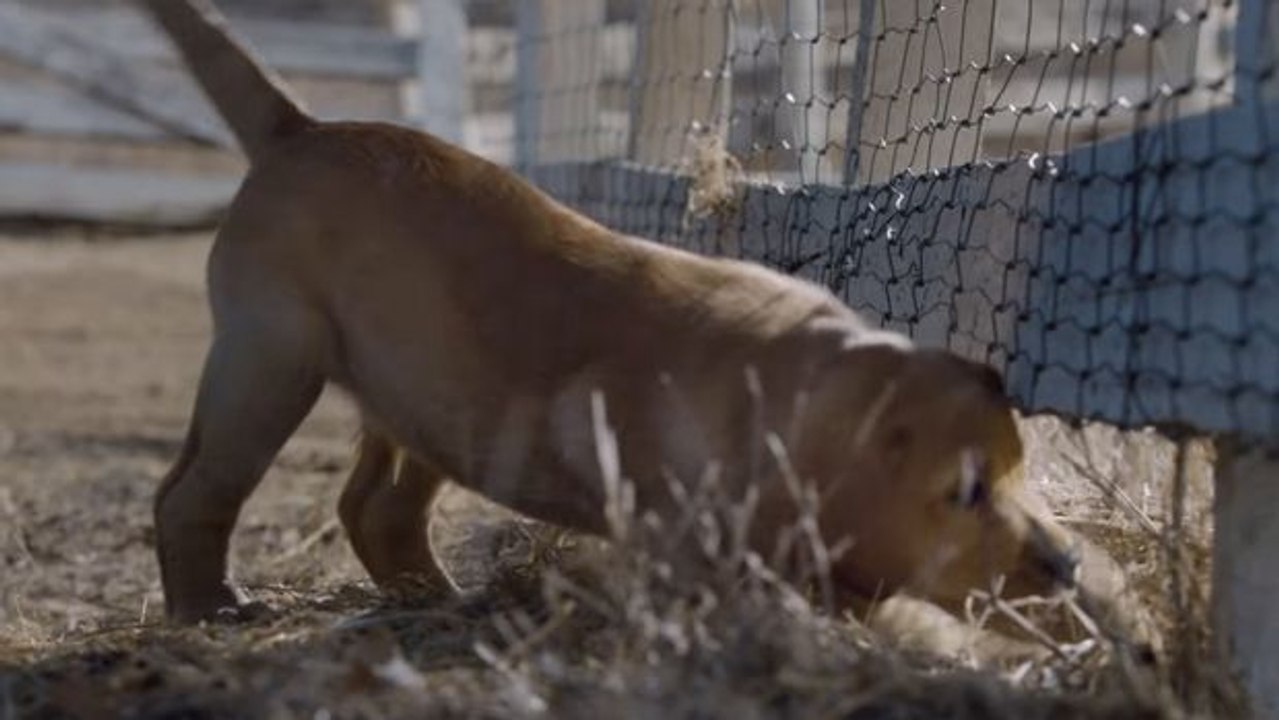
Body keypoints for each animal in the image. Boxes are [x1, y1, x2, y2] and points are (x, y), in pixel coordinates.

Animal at [147, 0, 1089, 631]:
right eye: (962, 492)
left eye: (1019, 469)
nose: (1067, 562)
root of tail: (298, 128)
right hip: (268, 361)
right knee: (191, 491)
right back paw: (212, 607)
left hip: (416, 398)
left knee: (374, 507)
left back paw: (435, 597)